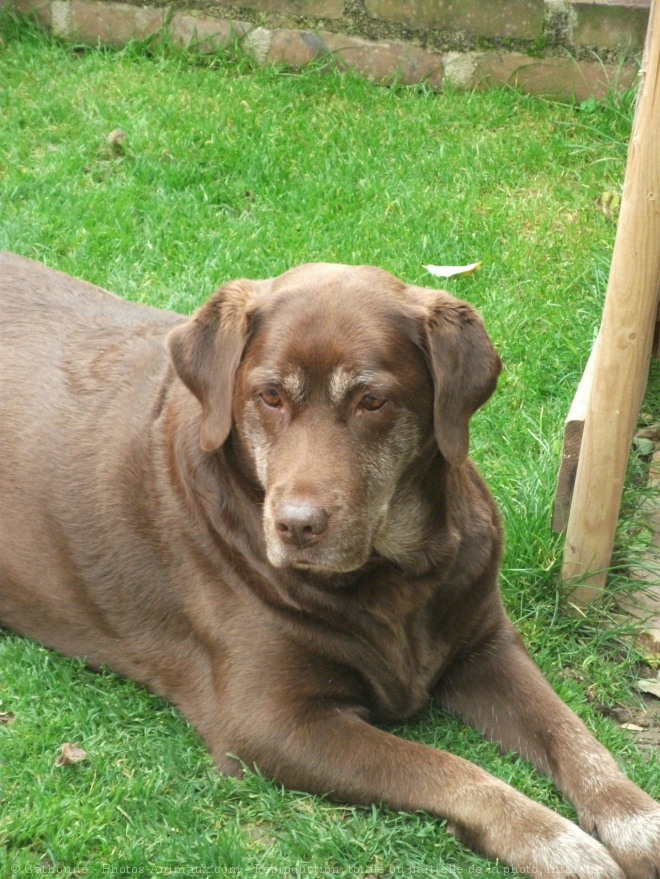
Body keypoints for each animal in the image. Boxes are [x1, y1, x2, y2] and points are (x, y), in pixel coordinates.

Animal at [1, 251, 660, 876]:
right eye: (269, 396)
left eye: (372, 400)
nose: (296, 525)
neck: (393, 575)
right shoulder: (273, 724)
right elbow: (452, 770)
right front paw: (555, 843)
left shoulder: (486, 645)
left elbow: (574, 735)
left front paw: (637, 822)